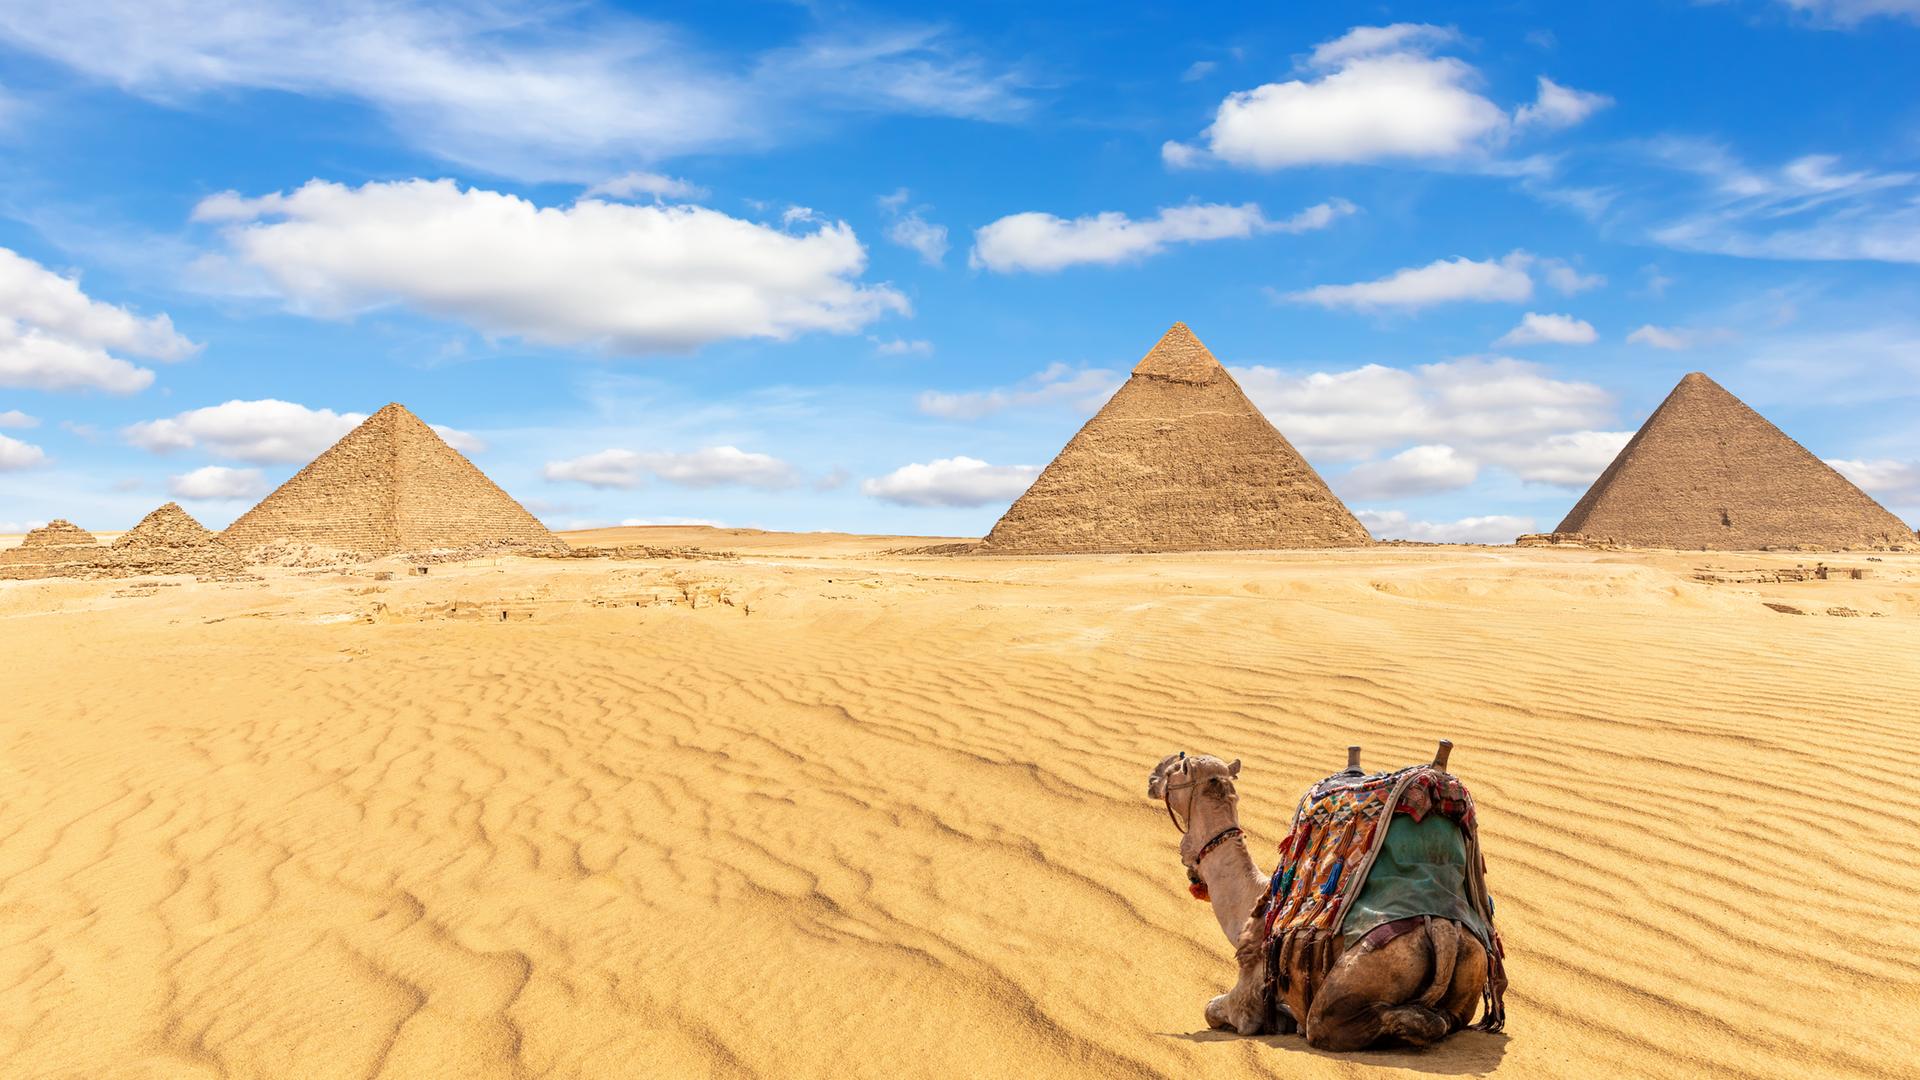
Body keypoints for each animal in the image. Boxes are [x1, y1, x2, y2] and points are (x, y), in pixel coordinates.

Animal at [1147, 750, 1504, 1051]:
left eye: (1178, 766)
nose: (1152, 776)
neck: (1252, 904)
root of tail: (1443, 931)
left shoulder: (1248, 996)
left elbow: (1212, 1010)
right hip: (1471, 968)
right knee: (1447, 1019)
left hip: (1360, 977)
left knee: (1330, 1024)